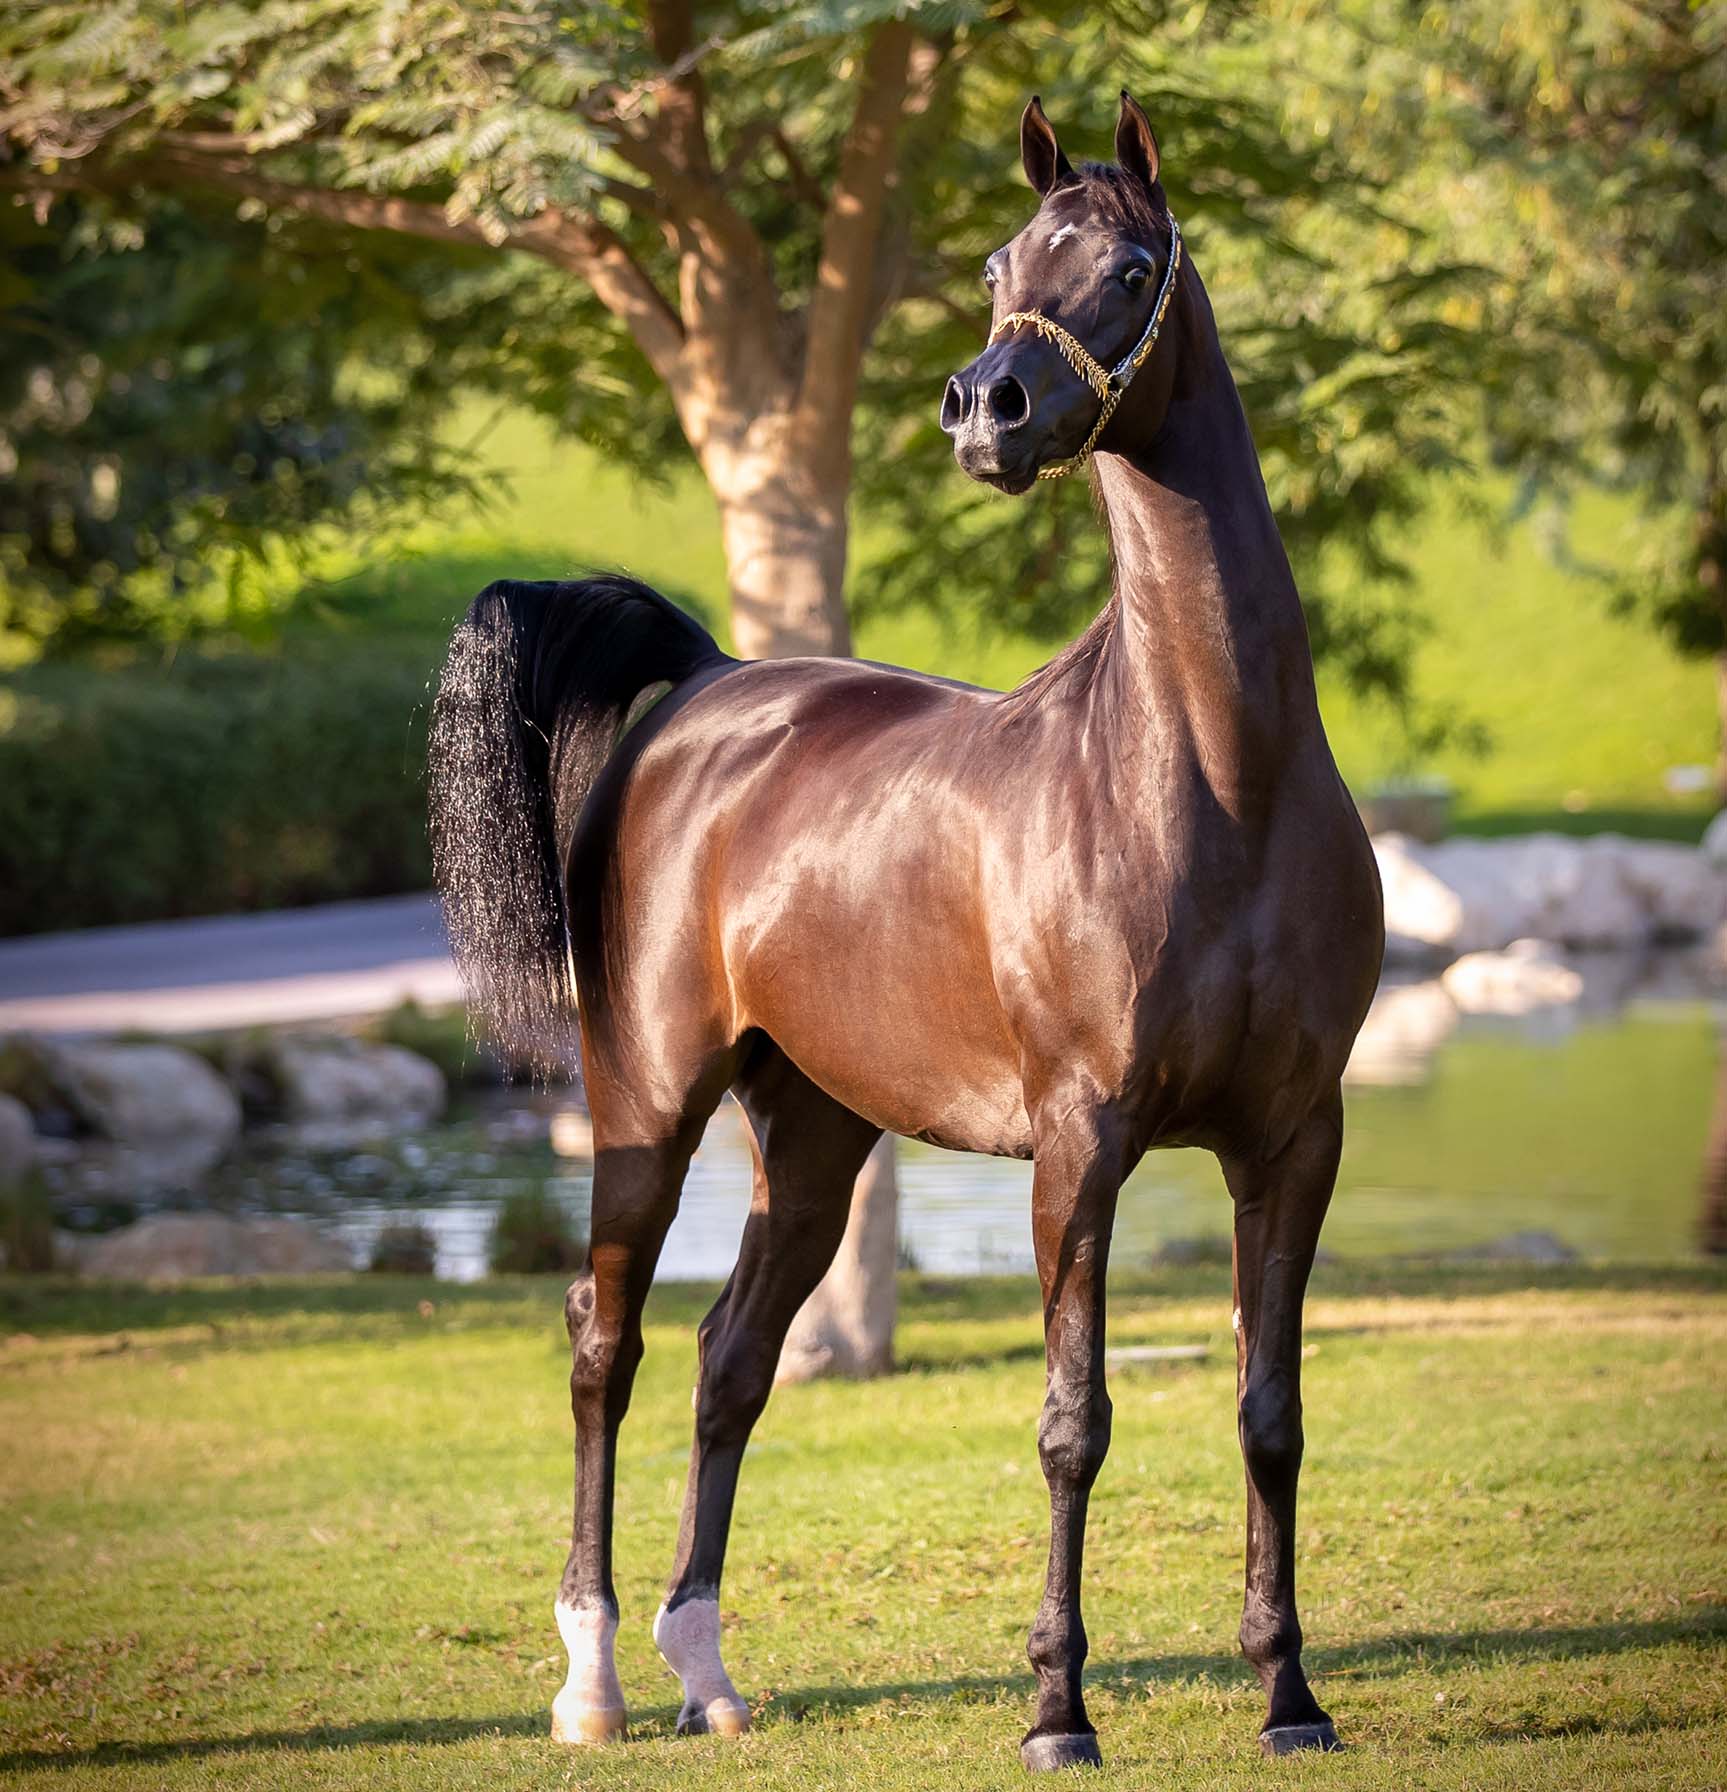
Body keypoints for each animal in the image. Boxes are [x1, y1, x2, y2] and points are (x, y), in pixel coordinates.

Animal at [428, 88, 1384, 1769]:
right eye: (1002, 258)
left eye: (1126, 266)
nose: (984, 409)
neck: (1217, 774)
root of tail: (701, 685)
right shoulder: (1080, 1141)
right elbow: (1073, 1424)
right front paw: (1056, 1711)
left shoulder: (1293, 1137)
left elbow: (1268, 1414)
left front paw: (1286, 1697)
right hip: (645, 1104)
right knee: (604, 1343)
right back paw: (591, 1681)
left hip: (811, 1134)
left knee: (728, 1360)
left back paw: (707, 1676)